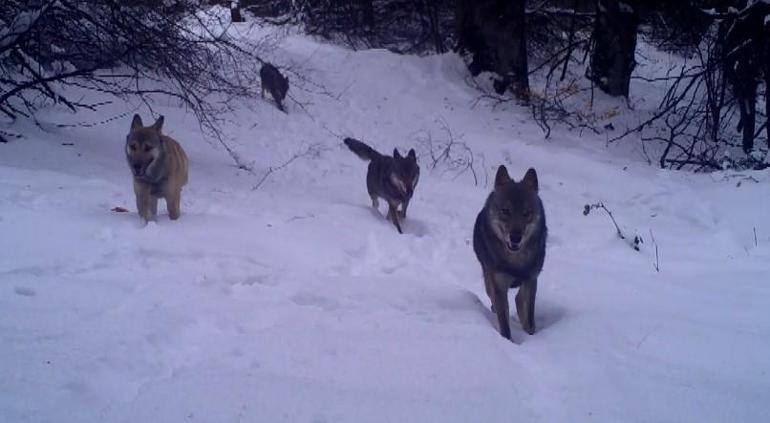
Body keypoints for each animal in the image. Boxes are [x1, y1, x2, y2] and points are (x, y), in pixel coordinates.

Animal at [468, 166, 544, 342]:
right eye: (506, 211)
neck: (516, 263)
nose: (515, 237)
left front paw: (531, 335)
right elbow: (504, 324)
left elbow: (529, 320)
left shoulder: (531, 280)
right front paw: (508, 343)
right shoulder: (499, 286)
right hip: (489, 280)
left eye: (526, 213)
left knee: (518, 299)